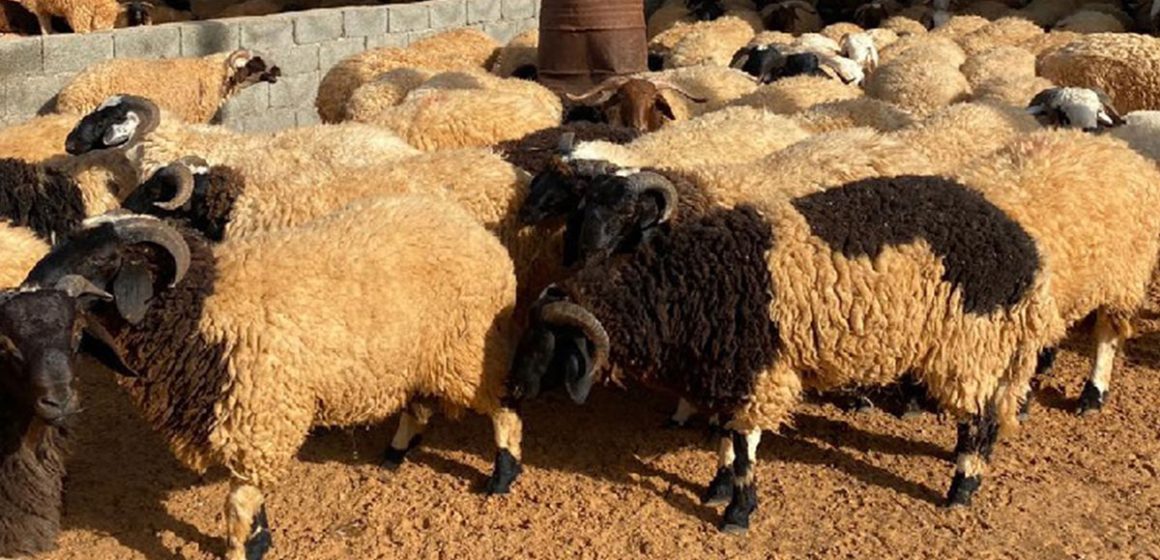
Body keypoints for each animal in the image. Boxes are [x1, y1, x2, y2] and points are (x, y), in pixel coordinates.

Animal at [13, 202, 522, 560]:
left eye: (103, 257)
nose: (28, 286)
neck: (206, 308)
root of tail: (474, 229)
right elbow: (249, 499)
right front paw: (260, 538)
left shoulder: (260, 415)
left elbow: (237, 504)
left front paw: (244, 548)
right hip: (416, 356)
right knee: (419, 404)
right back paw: (395, 454)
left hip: (469, 349)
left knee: (503, 405)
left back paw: (502, 476)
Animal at [509, 174, 1062, 532]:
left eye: (548, 343)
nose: (513, 386)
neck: (687, 282)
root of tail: (1025, 250)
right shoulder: (729, 372)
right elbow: (726, 439)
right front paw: (717, 487)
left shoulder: (758, 371)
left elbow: (744, 445)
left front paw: (737, 513)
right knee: (987, 414)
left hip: (968, 345)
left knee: (978, 419)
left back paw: (960, 489)